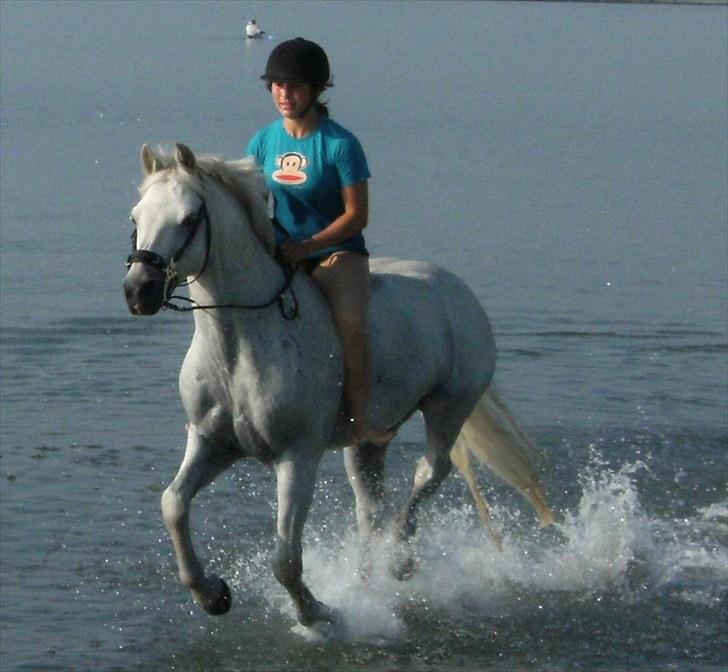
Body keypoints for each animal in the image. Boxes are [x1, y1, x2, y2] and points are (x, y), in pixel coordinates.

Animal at [123, 143, 552, 632]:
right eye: (136, 217)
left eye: (190, 218)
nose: (139, 291)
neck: (241, 343)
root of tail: (457, 288)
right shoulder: (212, 442)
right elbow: (173, 504)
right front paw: (213, 594)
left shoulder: (297, 458)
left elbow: (285, 559)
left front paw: (316, 613)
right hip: (368, 440)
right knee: (370, 507)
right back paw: (368, 580)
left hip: (449, 407)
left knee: (431, 471)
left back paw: (400, 560)